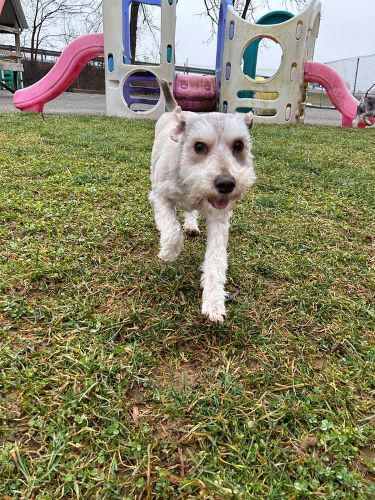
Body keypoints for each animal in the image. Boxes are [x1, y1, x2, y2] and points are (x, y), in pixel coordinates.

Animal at [150, 81, 258, 324]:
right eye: (199, 147)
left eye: (238, 145)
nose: (226, 183)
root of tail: (176, 110)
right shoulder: (159, 196)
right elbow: (172, 230)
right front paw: (167, 253)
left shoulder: (219, 218)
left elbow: (216, 260)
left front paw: (214, 302)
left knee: (191, 213)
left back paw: (191, 224)